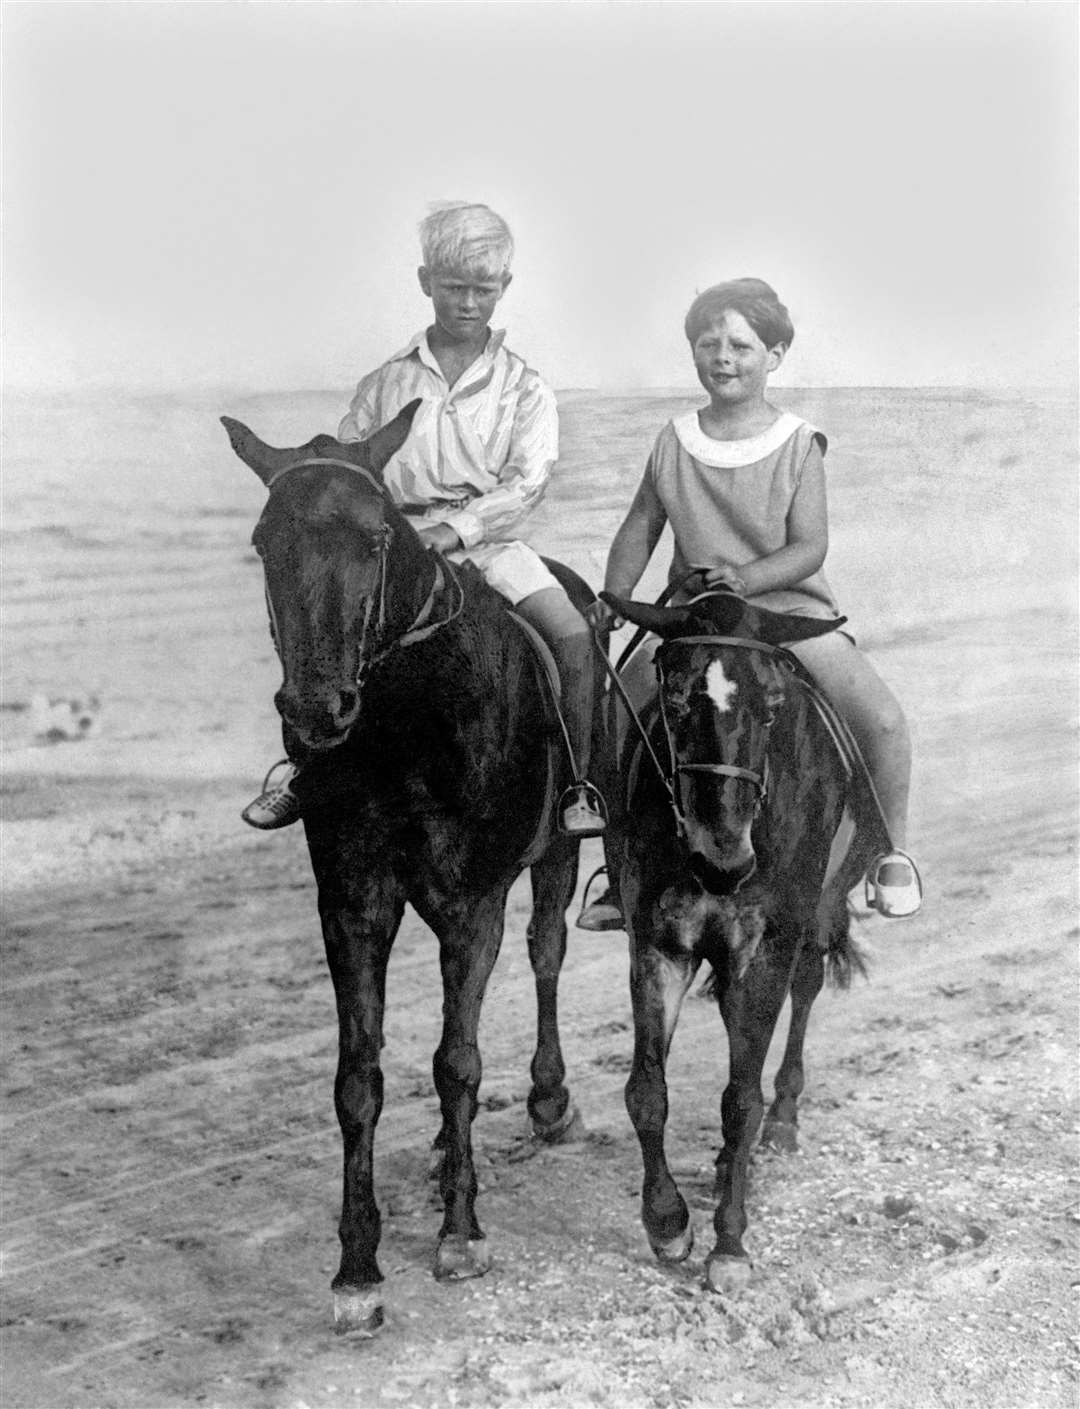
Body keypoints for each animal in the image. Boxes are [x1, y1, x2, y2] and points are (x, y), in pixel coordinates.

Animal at [222, 405, 599, 1330]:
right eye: (263, 541)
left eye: (375, 538)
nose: (316, 709)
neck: (409, 724)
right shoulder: (353, 905)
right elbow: (359, 1078)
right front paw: (357, 1268)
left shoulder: (474, 905)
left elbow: (457, 1061)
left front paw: (461, 1234)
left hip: (558, 850)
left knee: (545, 953)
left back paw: (548, 1101)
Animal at [599, 588, 889, 1290]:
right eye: (673, 699)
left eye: (774, 706)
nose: (722, 860)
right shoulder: (659, 945)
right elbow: (646, 1091)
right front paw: (668, 1224)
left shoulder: (765, 950)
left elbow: (739, 1101)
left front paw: (729, 1244)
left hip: (818, 913)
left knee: (804, 994)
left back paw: (780, 1122)